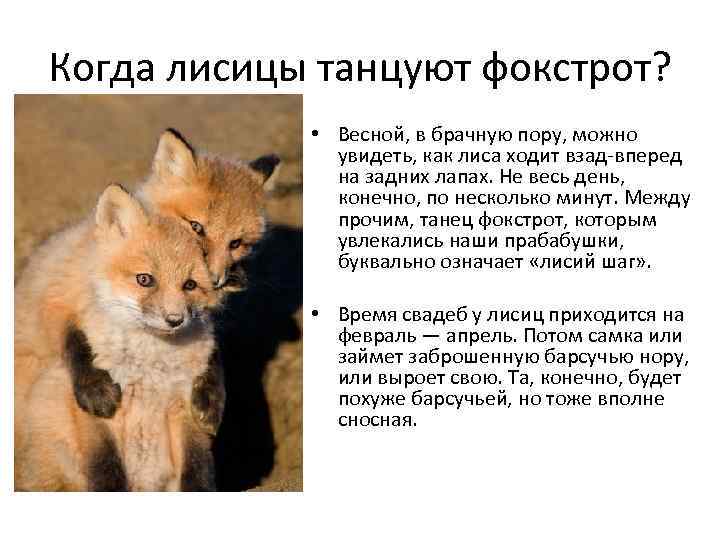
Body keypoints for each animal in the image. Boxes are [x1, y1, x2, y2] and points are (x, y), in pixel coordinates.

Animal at [15, 184, 220, 490]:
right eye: (145, 279)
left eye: (190, 285)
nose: (175, 320)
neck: (148, 369)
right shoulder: (98, 420)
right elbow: (105, 467)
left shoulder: (185, 408)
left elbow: (198, 468)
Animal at [62, 129, 280, 433]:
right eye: (196, 227)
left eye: (236, 244)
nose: (216, 281)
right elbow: (72, 336)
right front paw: (94, 386)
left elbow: (210, 351)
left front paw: (211, 396)